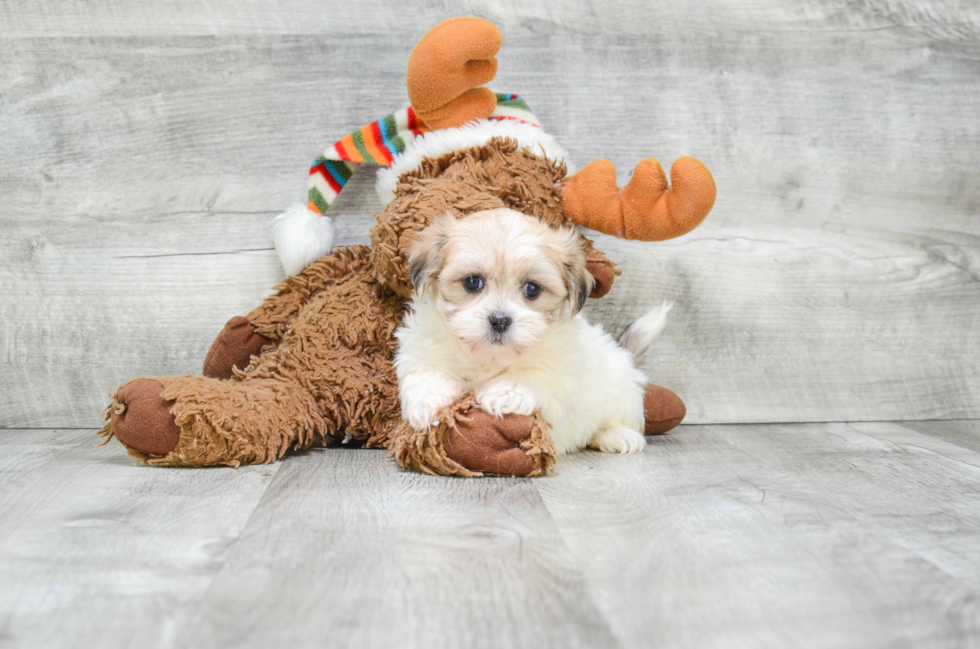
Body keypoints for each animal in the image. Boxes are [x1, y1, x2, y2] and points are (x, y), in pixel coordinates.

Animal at [394, 210, 668, 454]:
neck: (489, 357)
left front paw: (504, 392)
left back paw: (617, 436)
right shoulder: (421, 348)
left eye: (532, 289)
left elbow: (532, 374)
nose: (500, 320)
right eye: (472, 282)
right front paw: (427, 402)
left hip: (624, 394)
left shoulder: (561, 368)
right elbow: (424, 372)